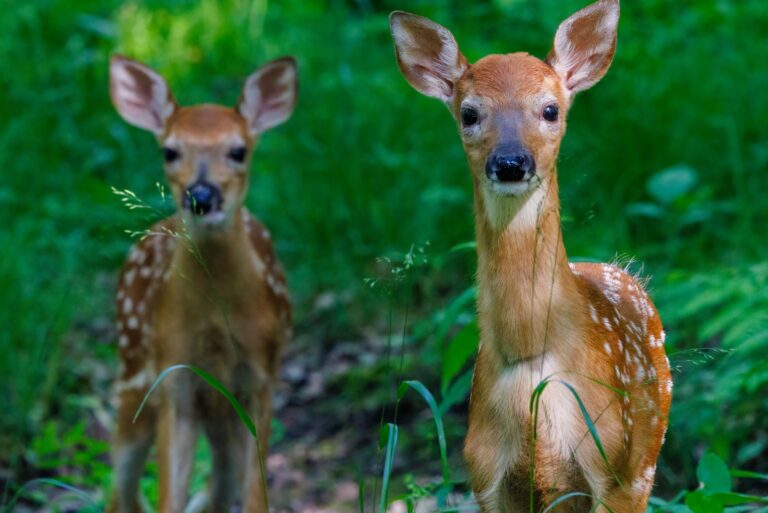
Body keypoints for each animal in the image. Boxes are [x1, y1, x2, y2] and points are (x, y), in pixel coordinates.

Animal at [107, 55, 296, 513]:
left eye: (239, 150)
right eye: (170, 150)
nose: (202, 195)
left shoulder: (261, 379)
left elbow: (254, 495)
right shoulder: (174, 380)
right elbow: (168, 498)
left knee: (219, 483)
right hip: (133, 374)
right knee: (120, 487)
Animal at [390, 1, 672, 511]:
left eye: (550, 109)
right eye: (468, 113)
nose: (509, 162)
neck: (529, 361)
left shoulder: (614, 466)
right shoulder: (485, 474)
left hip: (645, 459)